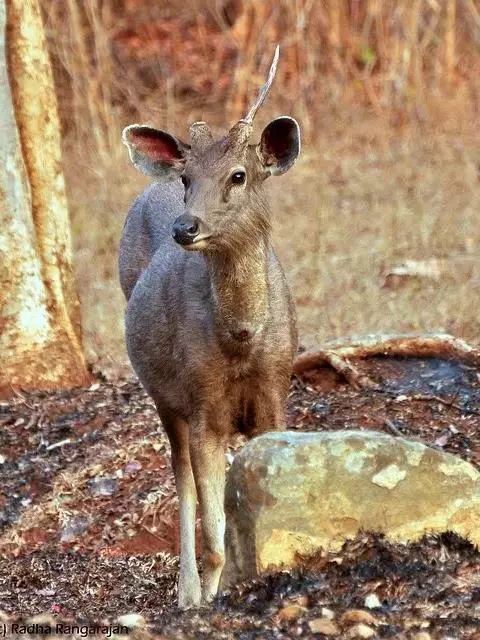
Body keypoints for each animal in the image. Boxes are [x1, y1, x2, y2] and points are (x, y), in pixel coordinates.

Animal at [119, 46, 300, 609]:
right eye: (187, 179)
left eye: (239, 175)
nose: (185, 227)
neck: (241, 341)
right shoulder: (202, 405)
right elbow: (214, 531)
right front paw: (209, 600)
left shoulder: (275, 394)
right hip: (163, 393)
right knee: (179, 478)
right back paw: (186, 591)